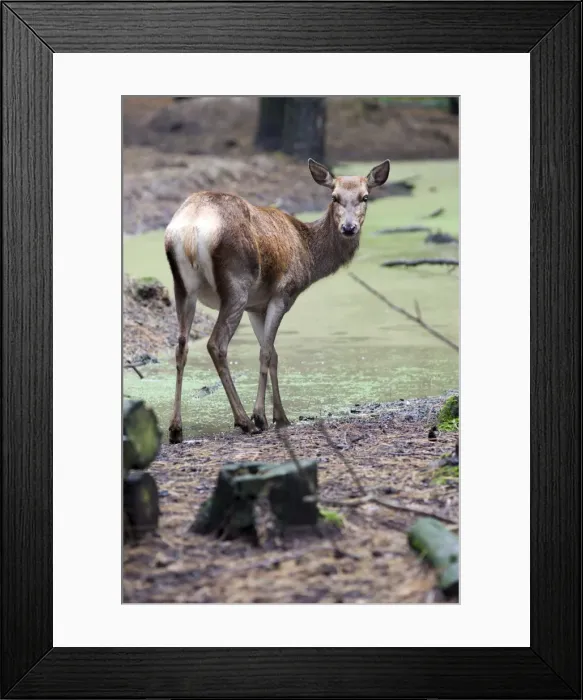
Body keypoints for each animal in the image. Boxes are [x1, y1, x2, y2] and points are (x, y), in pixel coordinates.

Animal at [164, 157, 390, 443]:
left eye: (365, 196)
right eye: (334, 197)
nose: (349, 228)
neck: (307, 254)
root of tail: (191, 230)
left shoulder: (256, 306)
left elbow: (274, 354)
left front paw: (280, 416)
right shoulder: (283, 294)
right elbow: (266, 351)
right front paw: (262, 417)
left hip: (182, 286)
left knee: (181, 345)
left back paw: (175, 428)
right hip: (236, 283)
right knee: (216, 344)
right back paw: (243, 421)